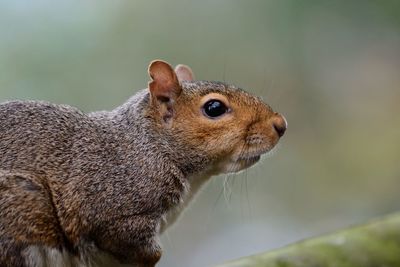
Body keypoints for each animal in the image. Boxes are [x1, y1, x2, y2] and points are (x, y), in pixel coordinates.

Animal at [0, 60, 288, 267]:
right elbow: (132, 244)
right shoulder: (112, 208)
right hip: (23, 206)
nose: (281, 124)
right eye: (214, 108)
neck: (151, 146)